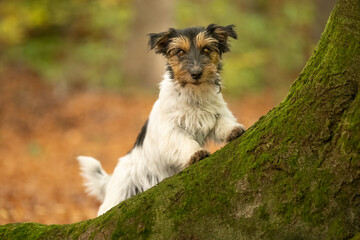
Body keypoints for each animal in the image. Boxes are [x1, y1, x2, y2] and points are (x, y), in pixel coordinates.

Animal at [77, 23, 246, 216]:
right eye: (180, 52)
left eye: (206, 49)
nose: (196, 73)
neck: (193, 95)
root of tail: (111, 179)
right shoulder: (171, 131)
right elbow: (185, 142)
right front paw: (196, 153)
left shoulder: (216, 114)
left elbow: (223, 123)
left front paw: (233, 130)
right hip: (118, 197)